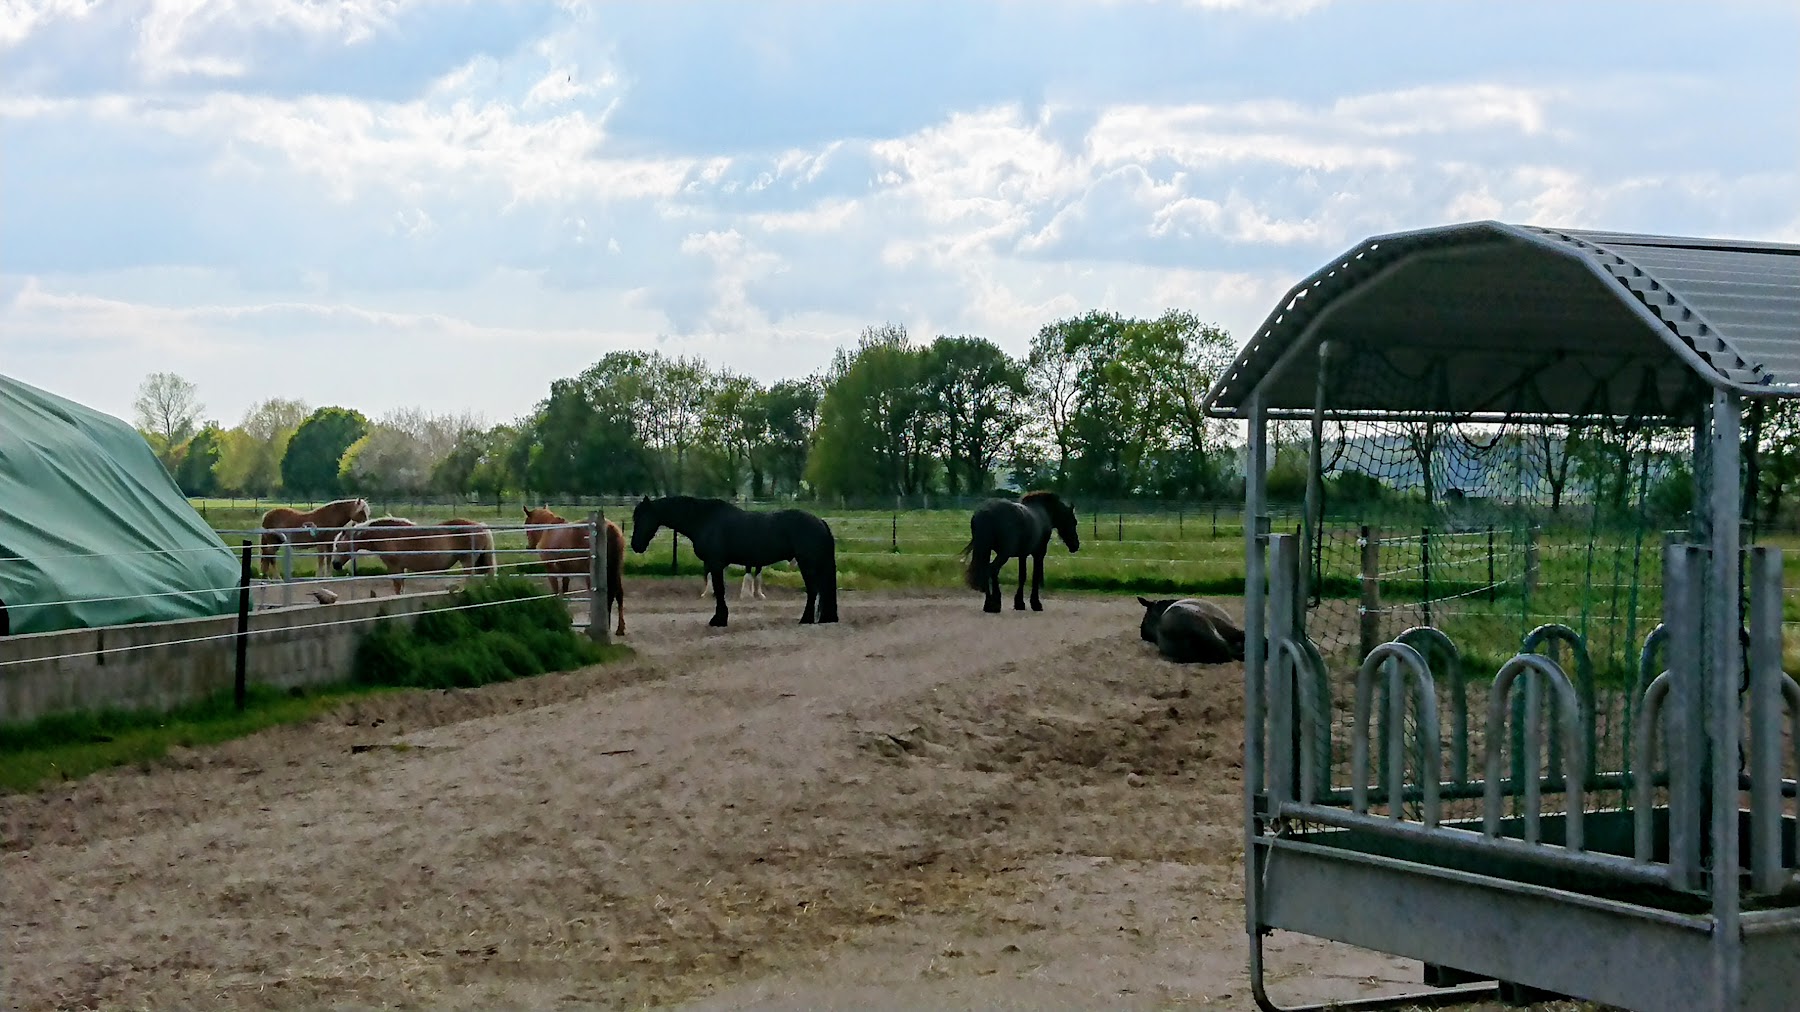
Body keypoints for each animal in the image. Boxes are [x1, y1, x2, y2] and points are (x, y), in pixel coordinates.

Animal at [326, 516, 496, 595]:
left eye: (338, 545)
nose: (335, 564)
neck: (387, 535)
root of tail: (482, 527)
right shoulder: (401, 568)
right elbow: (401, 587)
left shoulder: (394, 567)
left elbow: (397, 587)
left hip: (467, 561)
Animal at [523, 506, 627, 637]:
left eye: (526, 525)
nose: (529, 546)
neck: (549, 529)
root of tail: (609, 528)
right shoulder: (566, 572)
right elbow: (565, 592)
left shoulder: (551, 570)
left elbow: (556, 591)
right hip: (616, 571)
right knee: (619, 594)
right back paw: (619, 628)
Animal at [629, 495, 837, 628]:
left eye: (642, 517)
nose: (635, 545)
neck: (705, 520)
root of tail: (820, 521)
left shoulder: (716, 564)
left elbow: (720, 591)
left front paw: (718, 620)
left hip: (807, 564)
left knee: (813, 590)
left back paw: (806, 619)